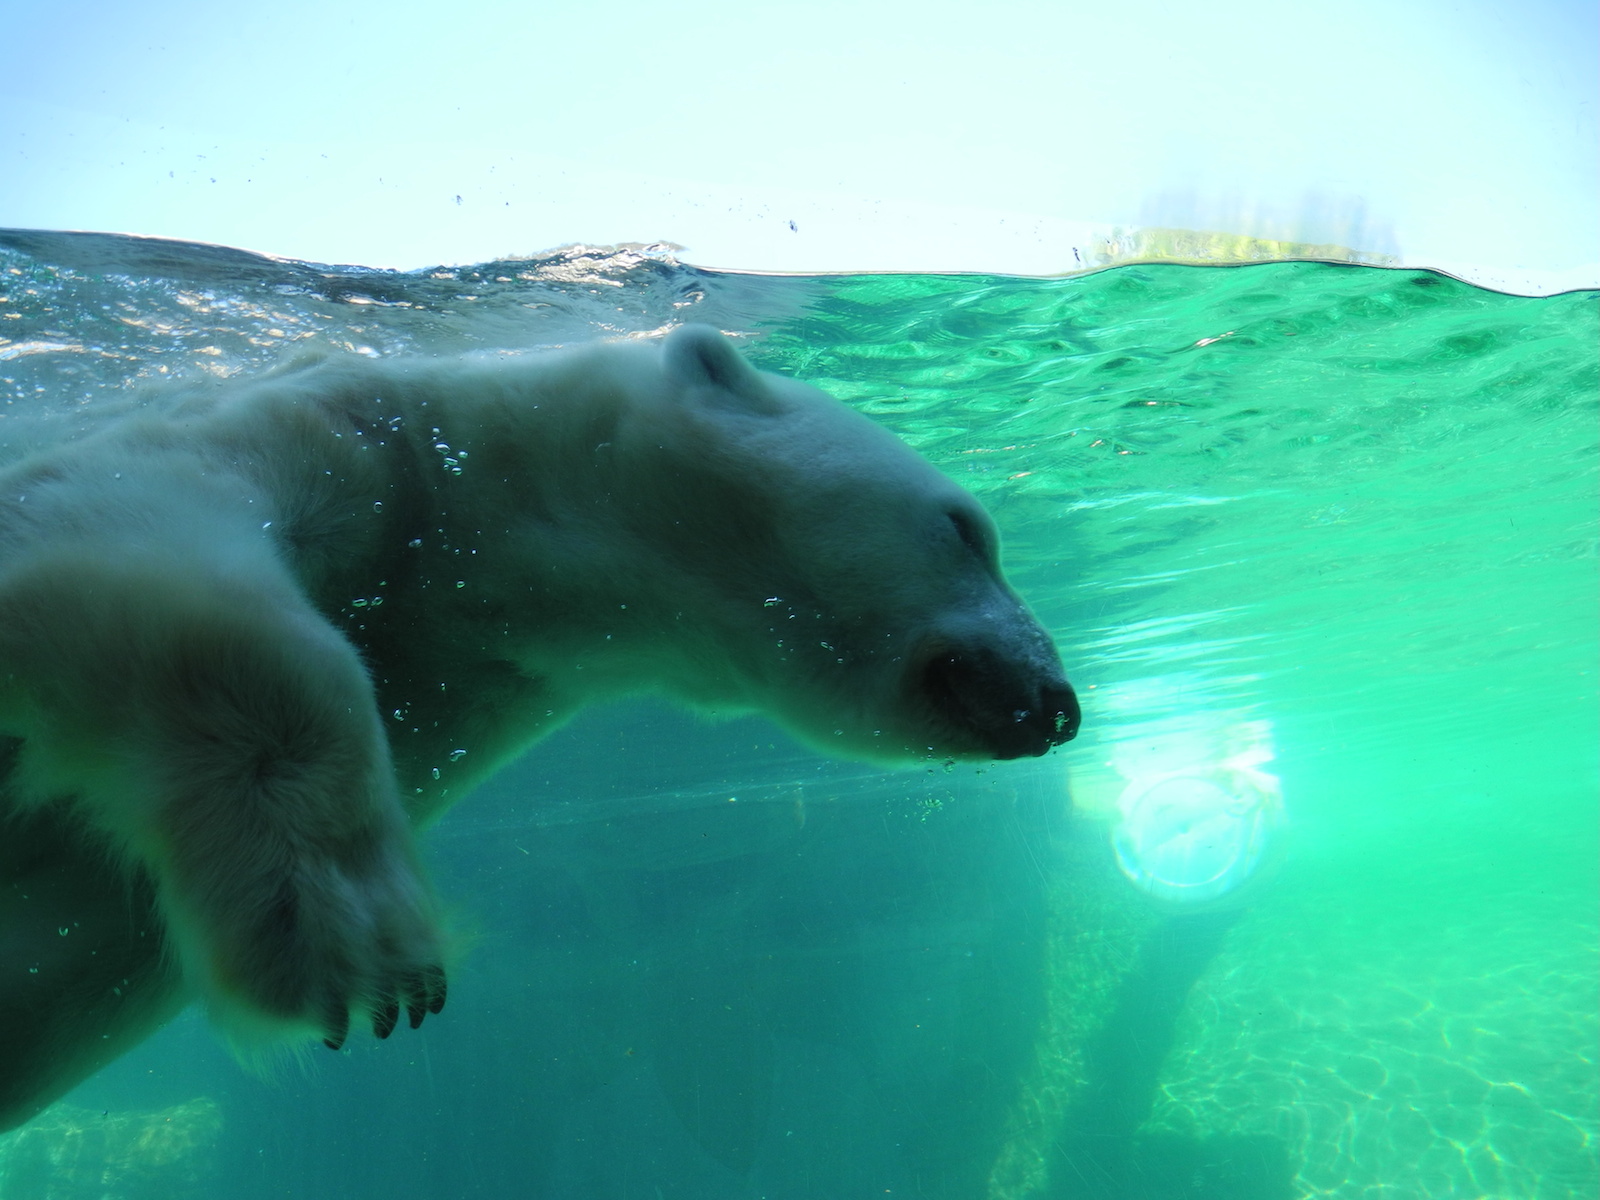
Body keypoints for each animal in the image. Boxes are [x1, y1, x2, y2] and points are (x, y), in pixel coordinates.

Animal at [0, 324, 1081, 1132]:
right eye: (966, 529)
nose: (1059, 702)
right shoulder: (336, 433)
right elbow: (124, 540)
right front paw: (367, 948)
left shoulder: (462, 682)